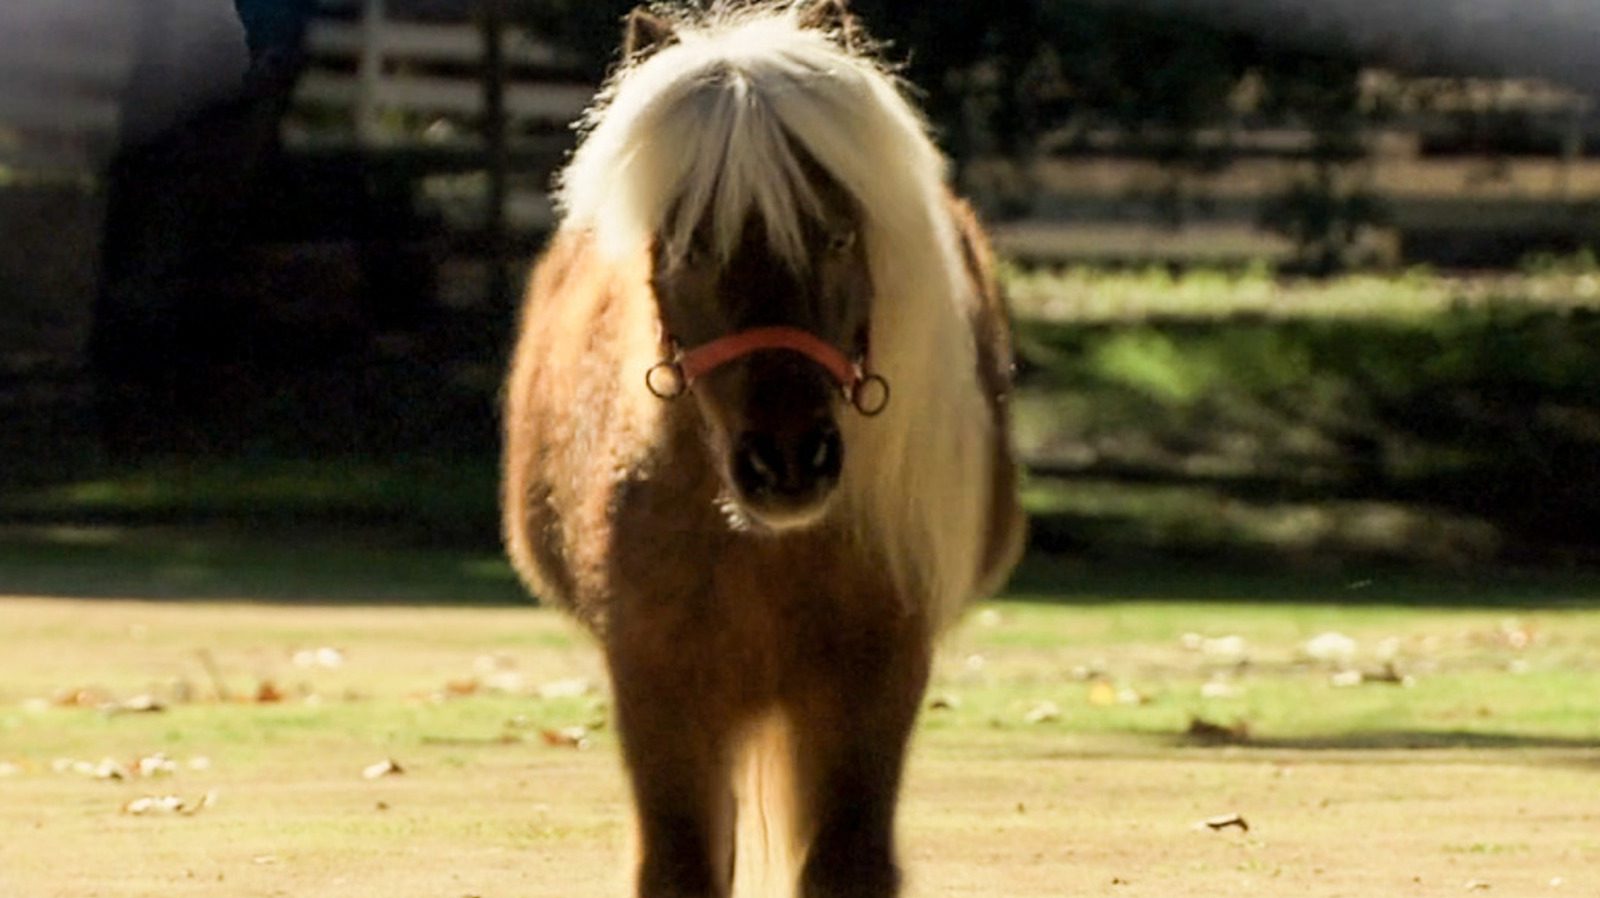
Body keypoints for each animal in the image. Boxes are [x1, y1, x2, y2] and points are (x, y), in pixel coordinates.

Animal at [502, 3, 1024, 889]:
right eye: (688, 247)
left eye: (839, 238)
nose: (786, 462)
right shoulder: (657, 689)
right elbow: (682, 867)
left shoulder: (870, 690)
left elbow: (846, 864)